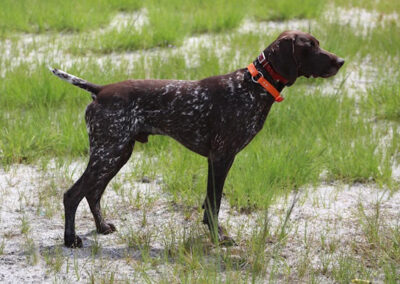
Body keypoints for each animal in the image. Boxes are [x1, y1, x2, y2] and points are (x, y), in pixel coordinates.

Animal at [50, 30, 344, 247]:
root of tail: (99, 91)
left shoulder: (218, 159)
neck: (252, 86)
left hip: (118, 153)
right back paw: (70, 240)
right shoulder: (221, 157)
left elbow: (209, 203)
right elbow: (214, 204)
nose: (340, 61)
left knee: (93, 192)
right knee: (73, 194)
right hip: (108, 152)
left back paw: (101, 227)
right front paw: (218, 238)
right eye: (310, 46)